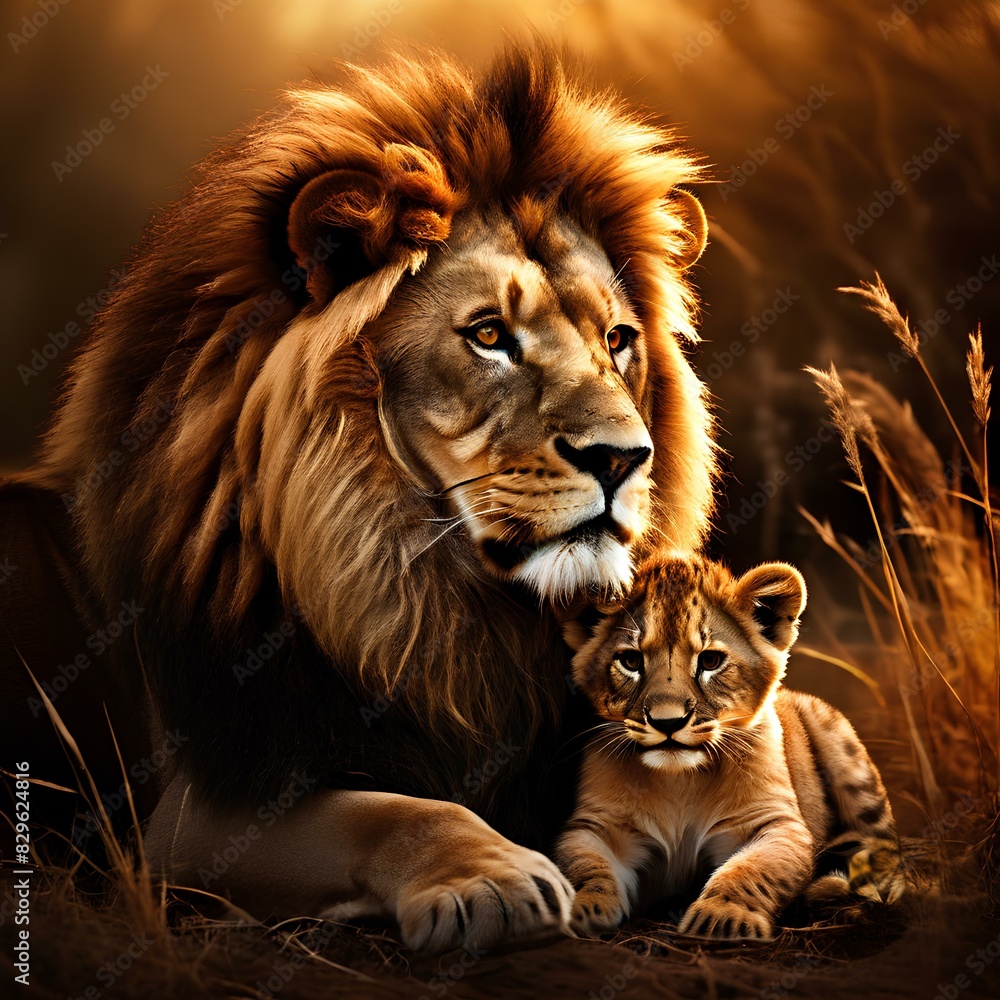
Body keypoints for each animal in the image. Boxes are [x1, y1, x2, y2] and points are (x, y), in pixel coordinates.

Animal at [2, 44, 714, 950]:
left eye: (617, 339)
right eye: (489, 335)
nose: (623, 457)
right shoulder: (196, 814)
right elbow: (390, 811)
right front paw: (494, 878)